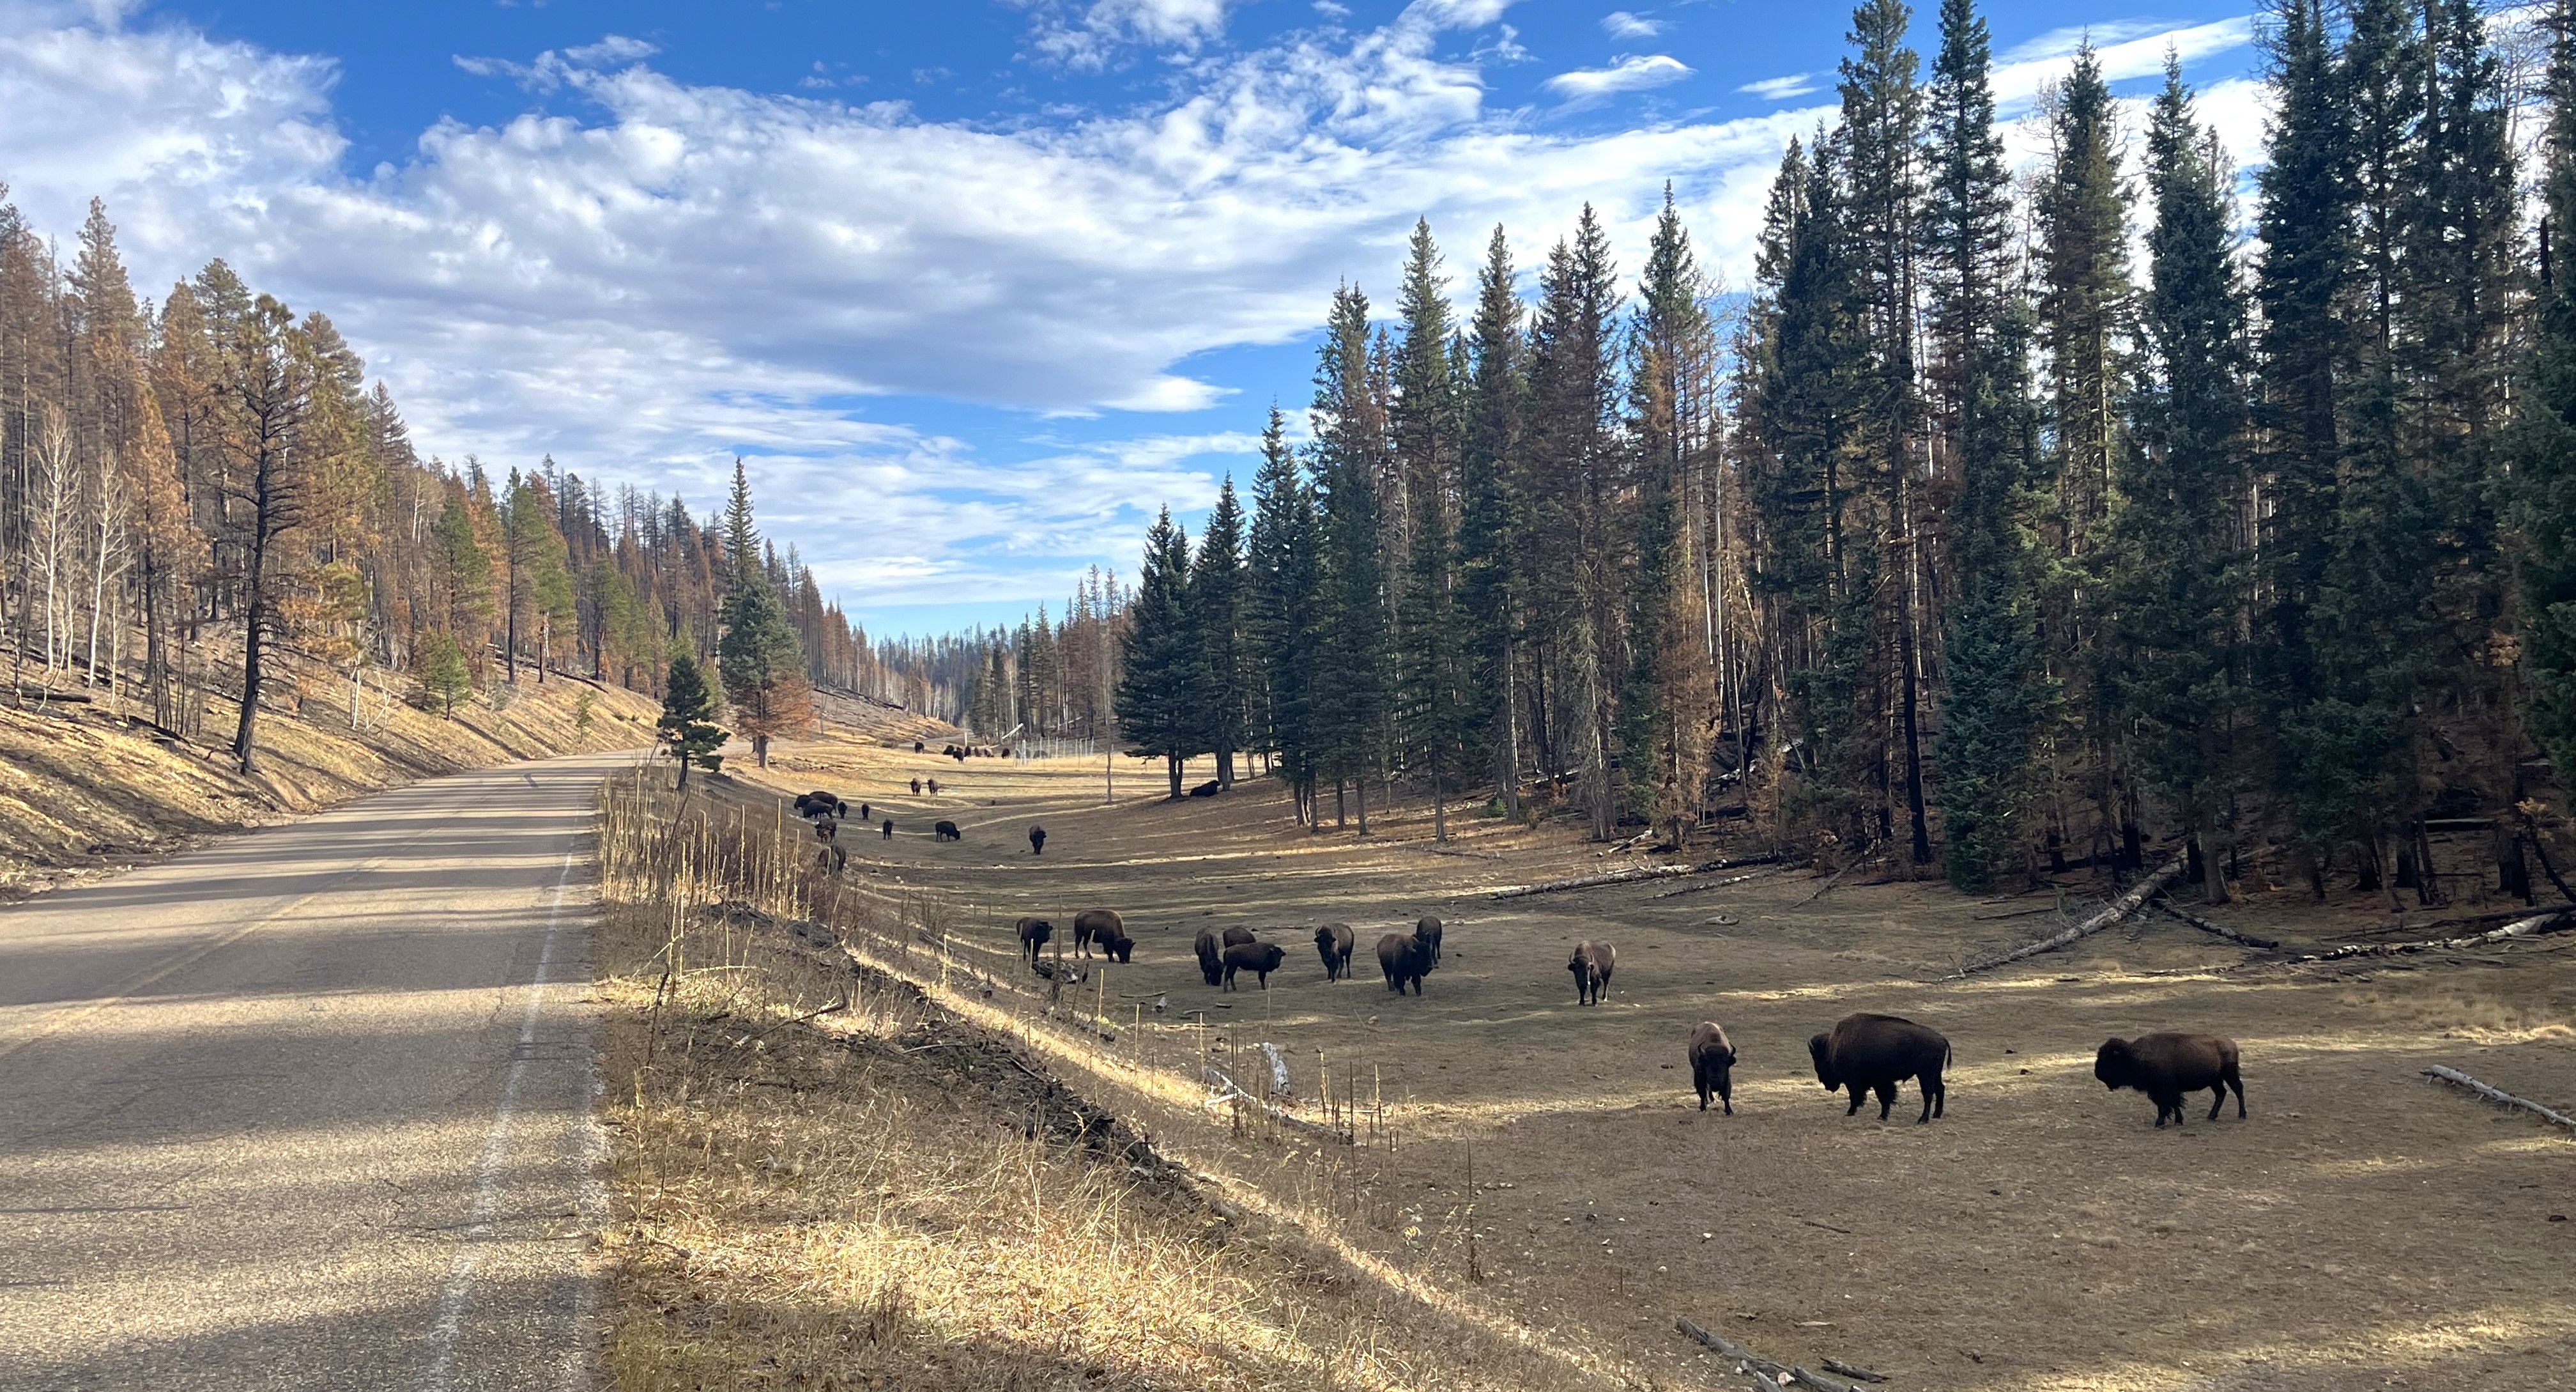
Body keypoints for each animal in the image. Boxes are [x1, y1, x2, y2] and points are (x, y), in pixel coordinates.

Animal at [1688, 1022, 1736, 1114]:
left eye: (1725, 1063)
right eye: (1707, 1063)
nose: (1715, 1082)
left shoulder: (1727, 1077)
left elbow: (1726, 1094)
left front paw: (1729, 1111)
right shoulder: (1701, 1076)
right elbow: (1702, 1092)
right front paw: (1702, 1108)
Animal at [1809, 1013, 1950, 1123]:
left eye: (1819, 1062)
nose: (1826, 1085)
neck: (1832, 1047)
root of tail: (1942, 1038)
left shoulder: (1860, 1081)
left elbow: (1862, 1097)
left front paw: (1853, 1112)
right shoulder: (1881, 1081)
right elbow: (1884, 1098)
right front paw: (1882, 1116)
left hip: (1925, 1075)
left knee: (1928, 1094)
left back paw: (1923, 1120)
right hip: (1935, 1074)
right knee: (1940, 1089)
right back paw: (1936, 1115)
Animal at [2096, 1033, 2246, 1128]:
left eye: (2109, 1058)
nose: (2097, 1074)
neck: (2133, 1055)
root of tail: (2231, 1043)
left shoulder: (2165, 1089)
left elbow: (2167, 1105)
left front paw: (2160, 1123)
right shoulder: (2160, 1090)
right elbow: (2173, 1104)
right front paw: (2177, 1121)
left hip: (2230, 1075)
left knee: (2238, 1090)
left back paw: (2242, 1115)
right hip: (2215, 1080)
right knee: (2221, 1093)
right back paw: (2211, 1116)